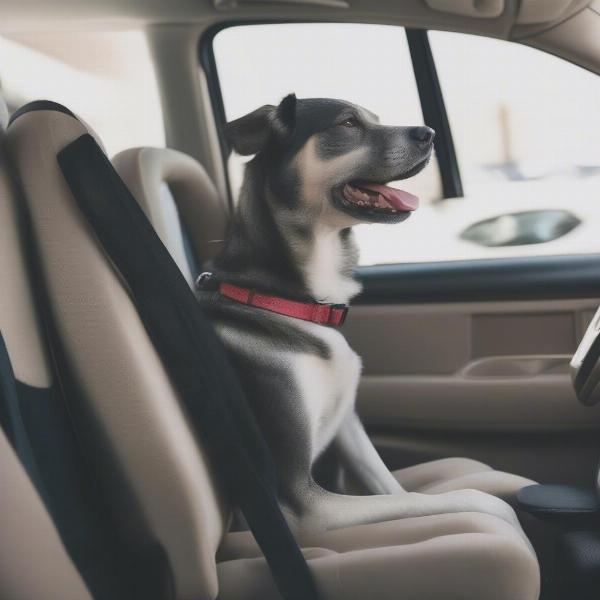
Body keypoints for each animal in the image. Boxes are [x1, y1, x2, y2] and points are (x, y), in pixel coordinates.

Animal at [196, 94, 524, 540]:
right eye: (348, 123)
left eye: (375, 119)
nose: (429, 133)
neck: (291, 302)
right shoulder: (301, 502)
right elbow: (437, 500)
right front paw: (496, 509)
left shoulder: (348, 423)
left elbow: (394, 487)